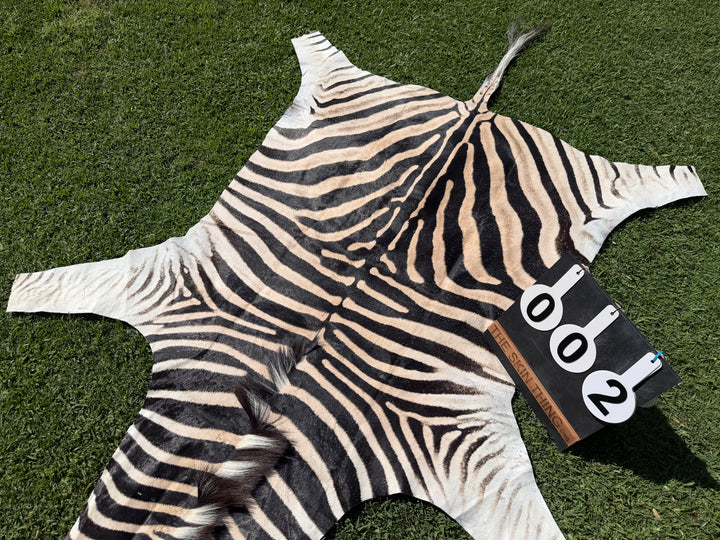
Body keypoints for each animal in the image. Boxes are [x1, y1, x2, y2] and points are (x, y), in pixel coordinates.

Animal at [6, 26, 705, 539]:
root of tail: (472, 114)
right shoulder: (179, 284)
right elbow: (62, 285)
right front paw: (19, 290)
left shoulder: (458, 441)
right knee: (327, 62)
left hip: (592, 185)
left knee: (648, 177)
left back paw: (689, 178)